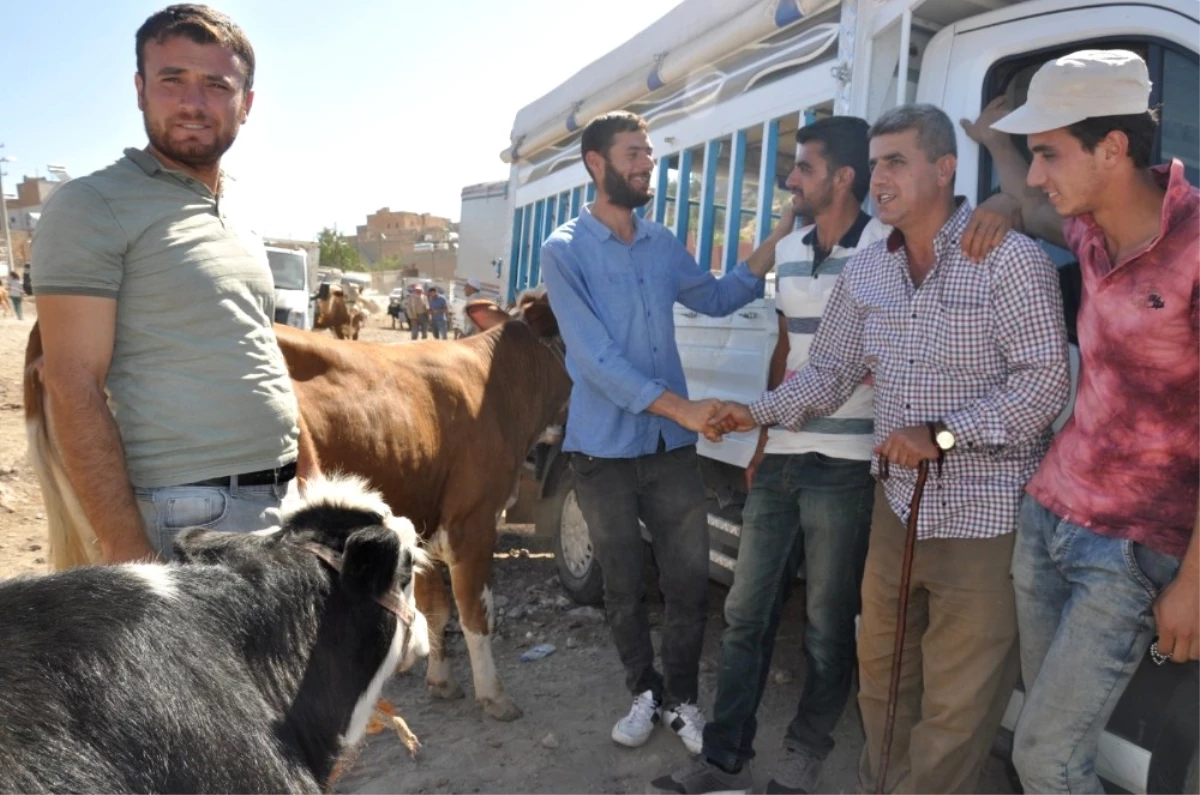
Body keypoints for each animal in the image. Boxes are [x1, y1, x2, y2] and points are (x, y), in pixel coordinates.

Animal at [22, 295, 571, 725]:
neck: (504, 378)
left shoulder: (431, 522)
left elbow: (437, 608)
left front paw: (442, 681)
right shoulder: (473, 519)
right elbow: (476, 611)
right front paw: (495, 696)